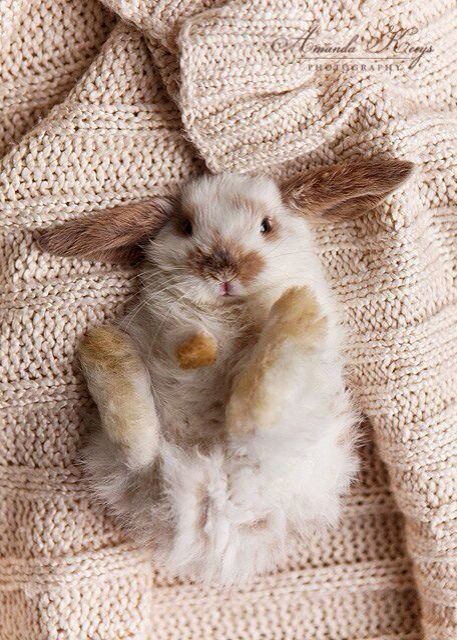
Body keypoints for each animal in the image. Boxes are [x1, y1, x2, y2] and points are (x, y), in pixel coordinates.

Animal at [37, 158, 412, 584]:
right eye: (185, 226)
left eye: (266, 225)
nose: (224, 271)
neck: (228, 313)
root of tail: (216, 505)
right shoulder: (164, 324)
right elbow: (183, 340)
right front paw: (198, 351)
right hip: (134, 463)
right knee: (142, 447)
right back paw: (104, 345)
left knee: (253, 412)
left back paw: (296, 311)